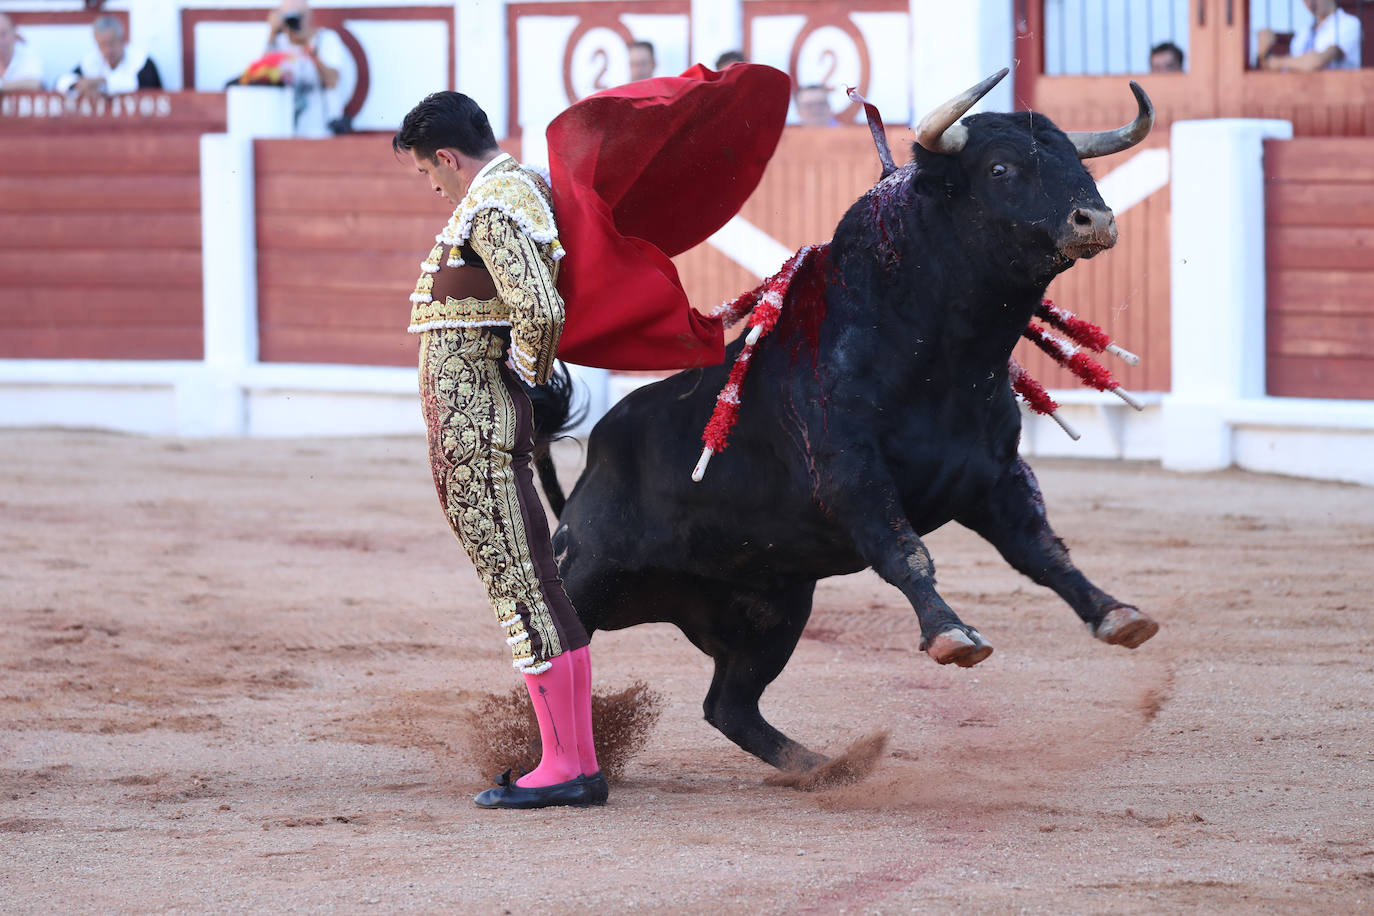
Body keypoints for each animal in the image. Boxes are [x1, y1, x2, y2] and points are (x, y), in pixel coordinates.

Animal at [535, 73, 1159, 774]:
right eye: (1000, 168)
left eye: (1077, 161)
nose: (1095, 219)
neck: (945, 357)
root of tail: (594, 459)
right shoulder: (850, 474)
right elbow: (906, 551)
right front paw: (952, 633)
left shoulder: (993, 478)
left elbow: (1043, 550)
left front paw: (1116, 614)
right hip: (586, 576)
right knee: (554, 649)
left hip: (774, 612)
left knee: (729, 705)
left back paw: (822, 769)